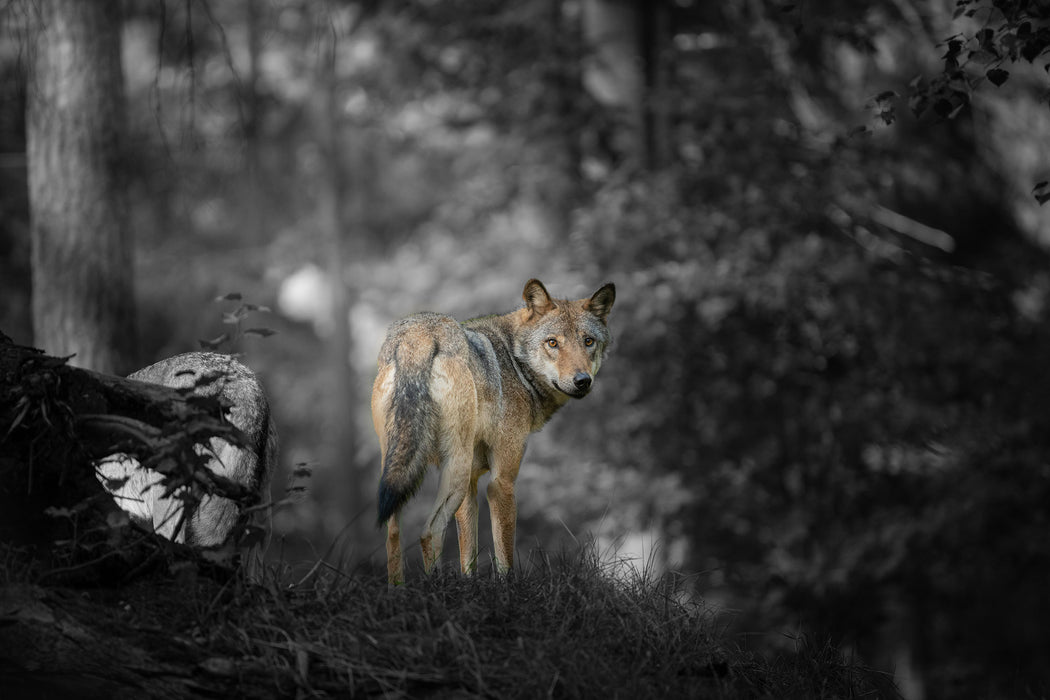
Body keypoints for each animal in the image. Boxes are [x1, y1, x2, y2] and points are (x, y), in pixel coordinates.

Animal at [373, 277, 613, 583]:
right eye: (553, 343)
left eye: (588, 341)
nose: (582, 380)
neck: (515, 362)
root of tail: (420, 335)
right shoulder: (501, 482)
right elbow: (504, 555)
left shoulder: (472, 487)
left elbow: (468, 557)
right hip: (456, 471)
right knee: (429, 531)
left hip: (401, 472)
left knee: (392, 535)